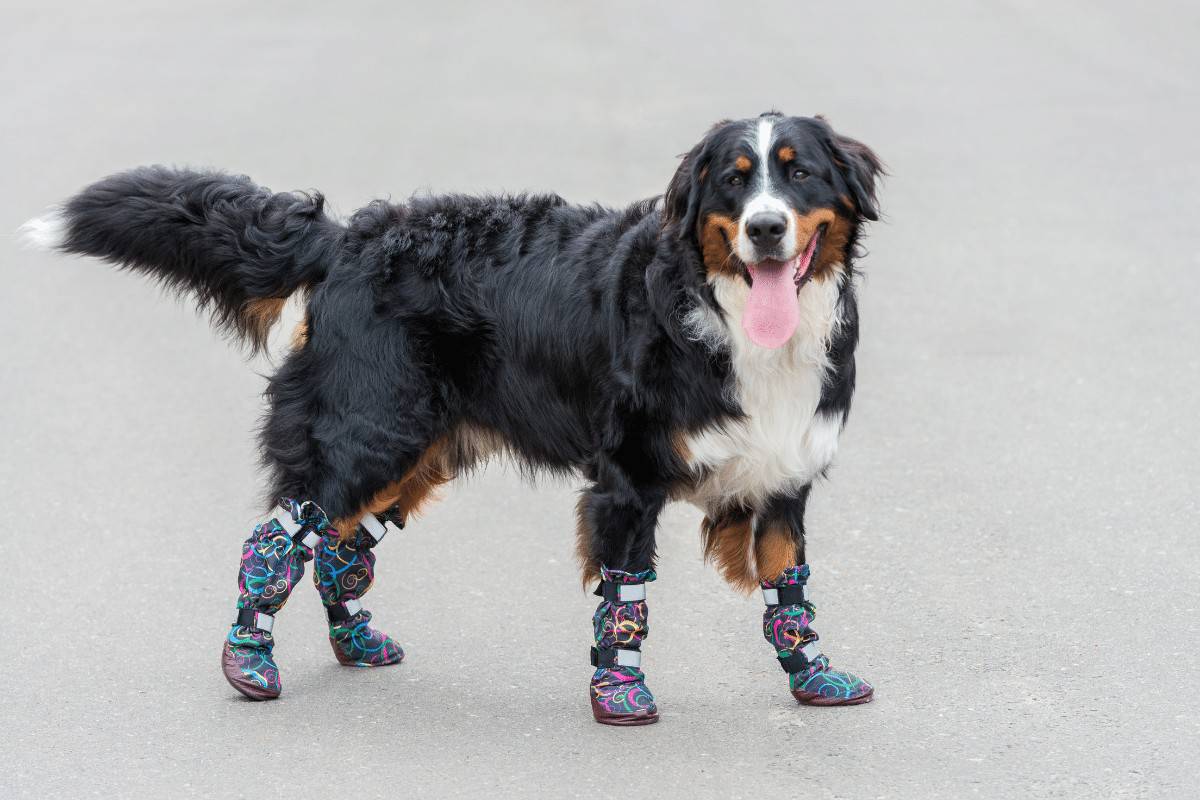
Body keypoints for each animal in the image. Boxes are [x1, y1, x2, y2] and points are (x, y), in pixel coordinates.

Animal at [21, 110, 883, 724]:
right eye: (736, 184)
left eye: (799, 174)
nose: (765, 227)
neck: (729, 317)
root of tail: (349, 237)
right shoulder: (629, 483)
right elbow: (624, 598)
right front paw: (620, 693)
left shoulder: (784, 477)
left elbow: (790, 591)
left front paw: (814, 675)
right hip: (368, 430)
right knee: (282, 535)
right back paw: (249, 660)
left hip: (420, 446)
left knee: (340, 549)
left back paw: (356, 642)